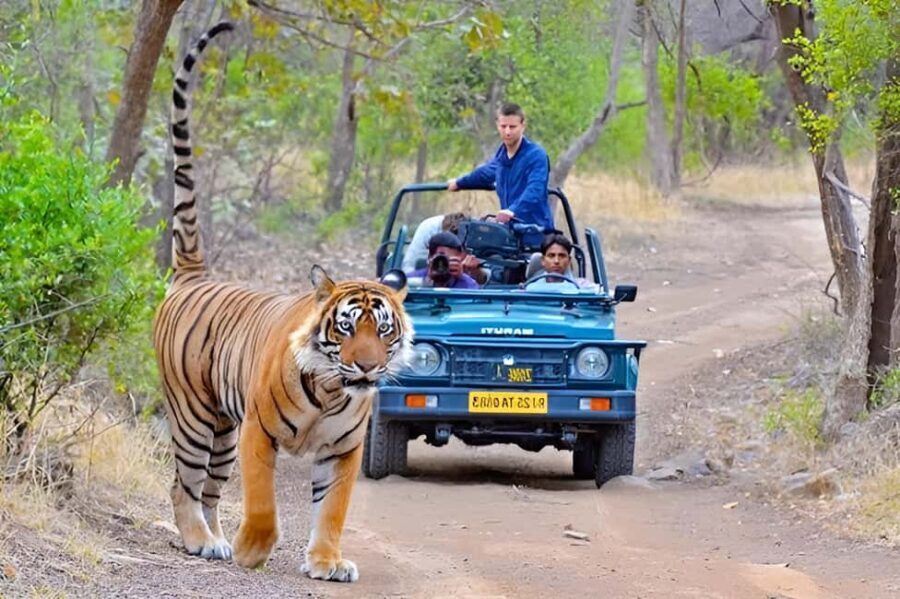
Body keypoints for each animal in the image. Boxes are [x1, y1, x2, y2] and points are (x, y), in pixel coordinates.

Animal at [152, 21, 412, 583]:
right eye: (346, 327)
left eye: (383, 330)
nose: (366, 367)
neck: (334, 390)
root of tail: (193, 275)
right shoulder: (259, 432)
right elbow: (263, 503)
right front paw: (254, 550)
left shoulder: (343, 450)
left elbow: (332, 510)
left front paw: (327, 562)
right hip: (194, 416)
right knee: (183, 483)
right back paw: (201, 540)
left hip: (222, 431)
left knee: (209, 490)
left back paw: (214, 541)